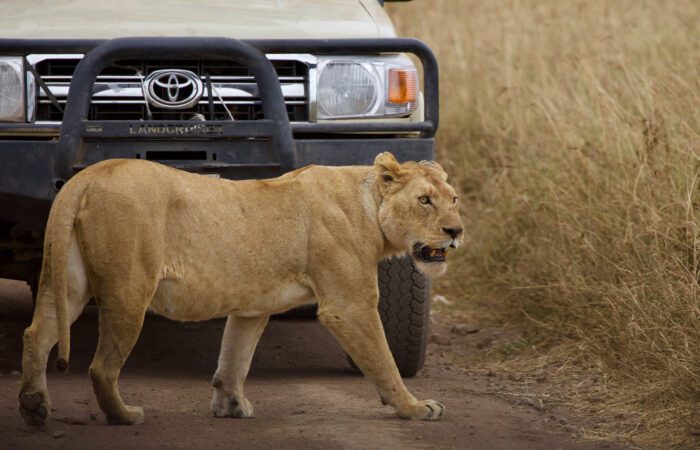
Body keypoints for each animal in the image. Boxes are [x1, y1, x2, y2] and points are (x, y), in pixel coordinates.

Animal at [18, 152, 464, 426]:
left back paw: (34, 407)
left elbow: (235, 355)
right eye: (424, 200)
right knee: (101, 366)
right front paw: (415, 407)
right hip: (129, 289)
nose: (456, 231)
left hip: (70, 281)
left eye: (455, 199)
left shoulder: (252, 306)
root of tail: (87, 176)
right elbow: (384, 361)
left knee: (36, 333)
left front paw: (230, 405)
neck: (369, 204)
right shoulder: (349, 304)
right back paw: (124, 416)